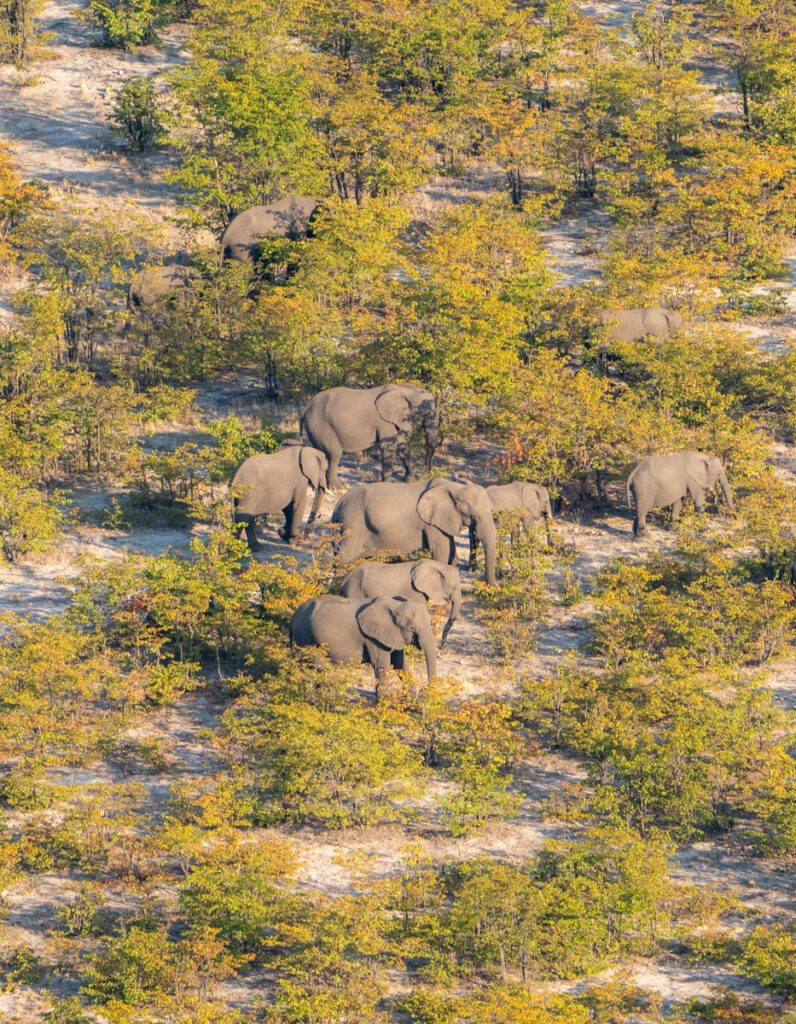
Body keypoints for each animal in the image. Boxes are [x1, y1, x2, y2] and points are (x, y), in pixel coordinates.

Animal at [286, 593, 434, 696]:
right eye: (412, 628)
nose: (427, 691)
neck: (394, 604)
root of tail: (293, 616)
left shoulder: (391, 634)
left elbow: (398, 663)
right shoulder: (372, 638)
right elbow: (382, 666)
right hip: (306, 638)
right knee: (316, 667)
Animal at [299, 385, 438, 493]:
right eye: (425, 411)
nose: (428, 471)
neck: (406, 389)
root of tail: (306, 407)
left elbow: (402, 445)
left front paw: (410, 480)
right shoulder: (384, 422)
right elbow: (388, 447)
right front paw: (387, 484)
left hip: (315, 428)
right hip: (321, 425)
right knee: (334, 454)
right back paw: (338, 487)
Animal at [329, 473, 493, 581]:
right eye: (472, 515)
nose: (493, 584)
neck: (454, 486)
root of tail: (338, 504)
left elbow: (451, 553)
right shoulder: (431, 524)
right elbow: (442, 552)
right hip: (353, 524)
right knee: (343, 559)